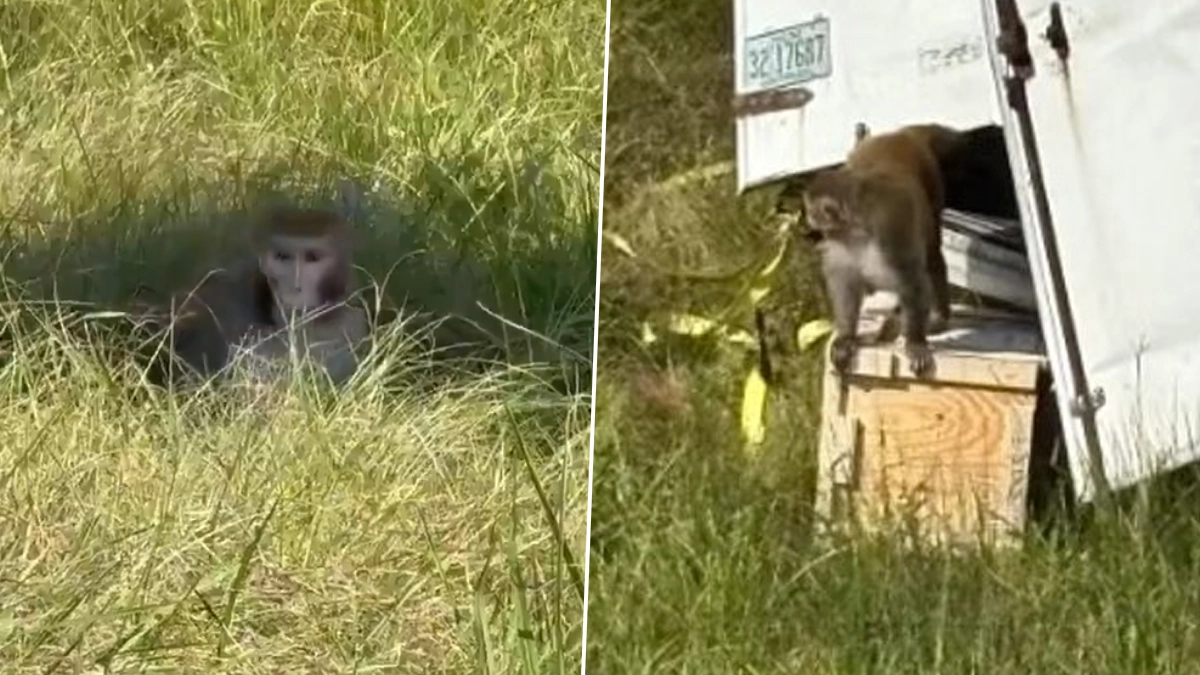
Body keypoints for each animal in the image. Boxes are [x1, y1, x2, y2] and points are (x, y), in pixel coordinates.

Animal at [803, 124, 962, 378]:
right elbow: (845, 282)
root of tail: (899, 134)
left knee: (932, 254)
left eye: (811, 210)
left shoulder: (891, 231)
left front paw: (915, 342)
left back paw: (938, 317)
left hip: (931, 181)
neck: (857, 229)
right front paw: (846, 337)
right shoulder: (840, 243)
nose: (808, 219)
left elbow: (912, 281)